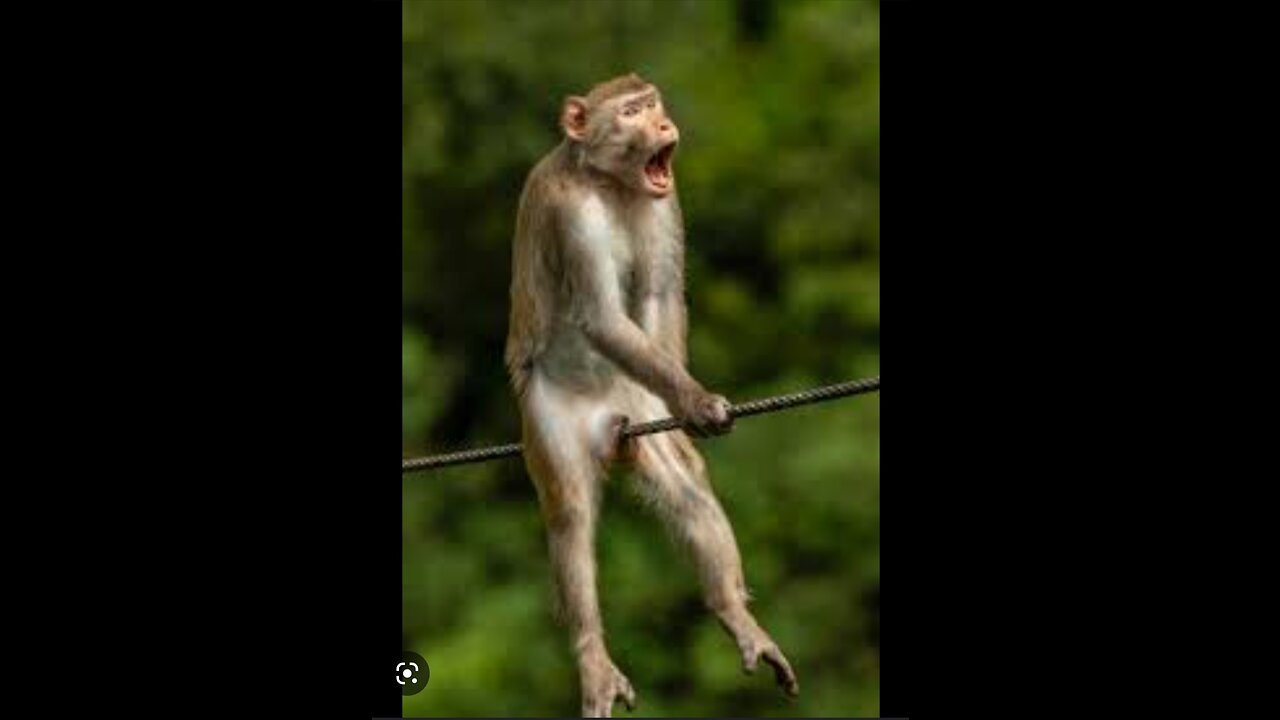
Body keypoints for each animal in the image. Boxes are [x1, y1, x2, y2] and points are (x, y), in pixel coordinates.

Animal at [505, 73, 798, 717]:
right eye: (632, 112)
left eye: (654, 104)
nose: (663, 125)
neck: (609, 183)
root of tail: (605, 414)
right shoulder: (570, 211)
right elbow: (602, 317)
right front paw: (697, 403)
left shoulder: (666, 199)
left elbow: (659, 295)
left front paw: (687, 406)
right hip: (550, 415)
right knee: (569, 512)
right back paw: (593, 658)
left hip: (635, 402)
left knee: (685, 486)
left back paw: (733, 611)